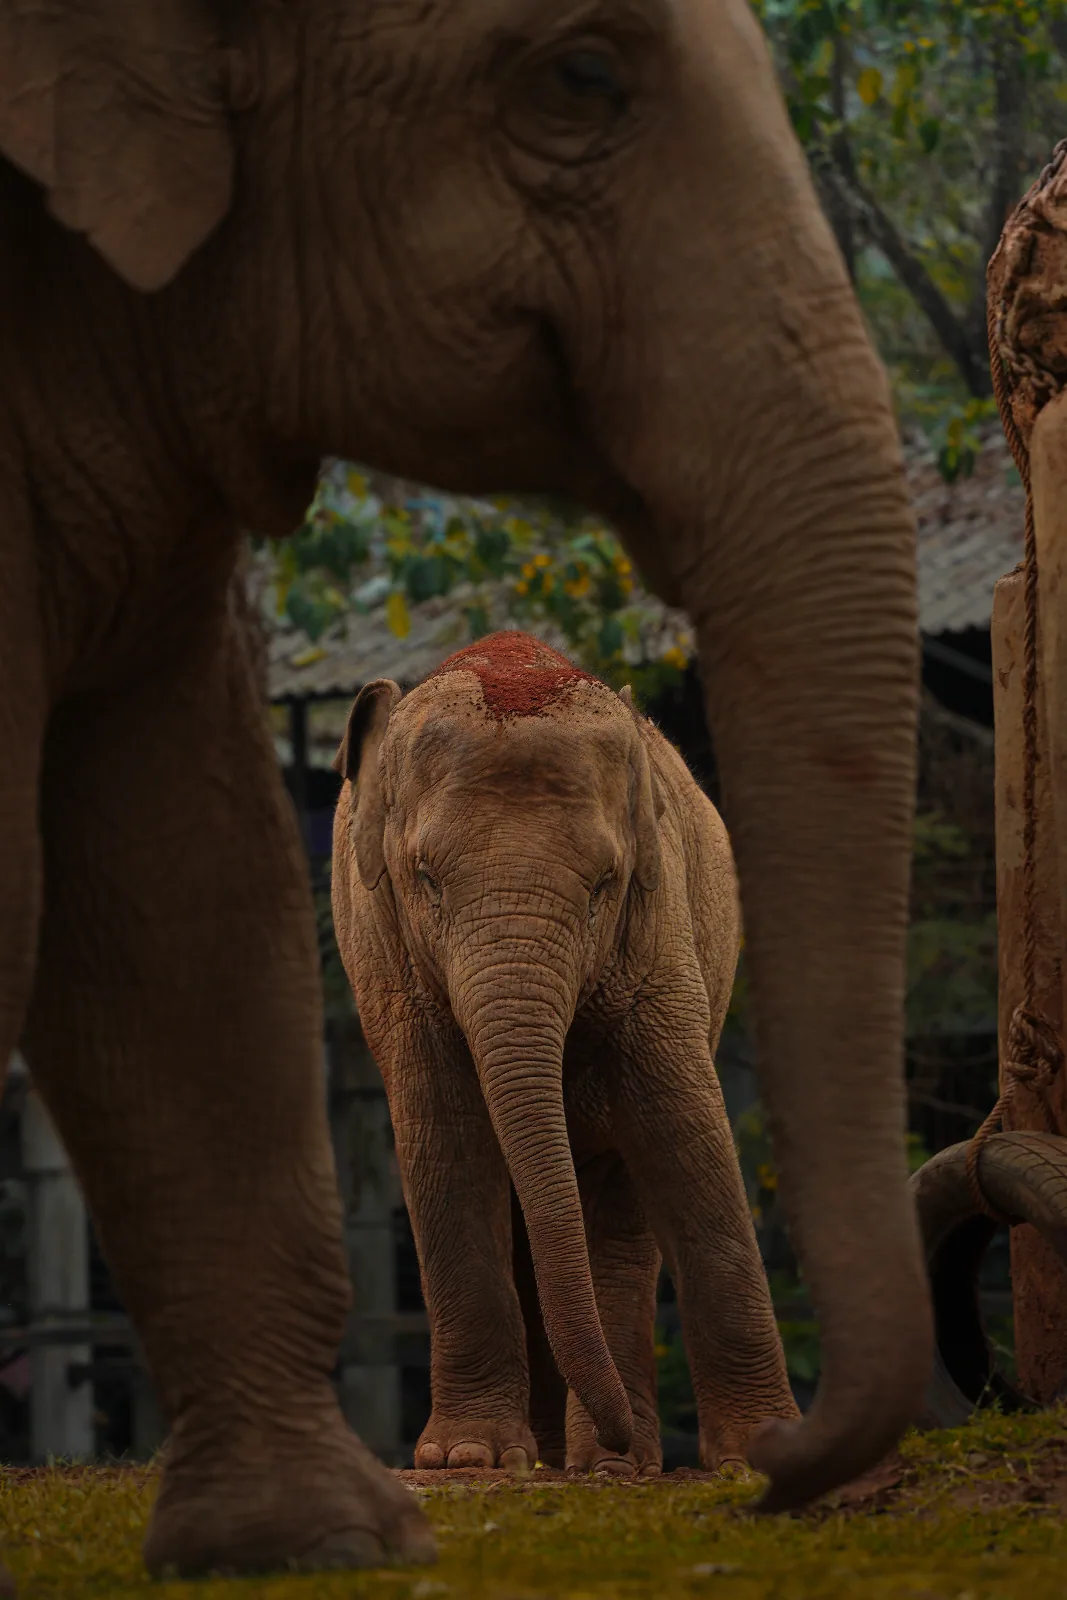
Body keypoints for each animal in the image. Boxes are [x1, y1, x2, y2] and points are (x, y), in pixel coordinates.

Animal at [330, 631, 800, 1478]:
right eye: (425, 880)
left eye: (603, 885)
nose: (612, 1439)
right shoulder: (383, 952)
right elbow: (446, 1141)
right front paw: (468, 1459)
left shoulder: (657, 927)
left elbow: (683, 1133)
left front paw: (762, 1453)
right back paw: (560, 1459)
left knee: (617, 1205)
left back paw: (605, 1464)